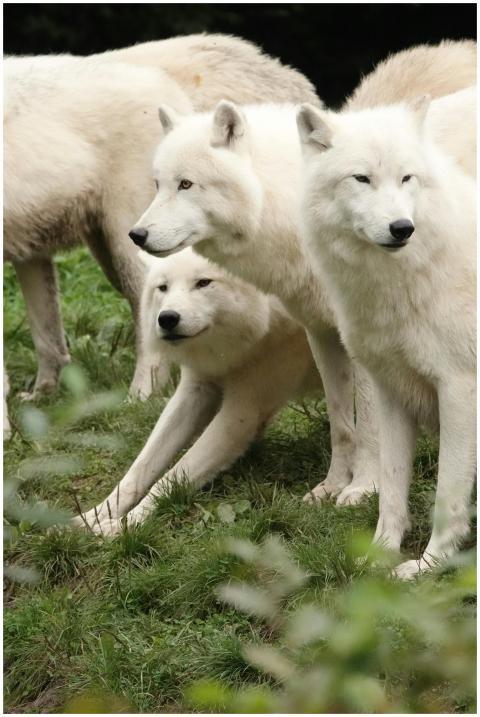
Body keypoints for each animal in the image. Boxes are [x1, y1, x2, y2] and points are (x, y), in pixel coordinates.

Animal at [74, 249, 320, 534]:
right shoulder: (196, 388)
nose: (167, 318)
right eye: (163, 287)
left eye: (203, 283)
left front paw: (122, 525)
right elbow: (140, 467)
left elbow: (171, 476)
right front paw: (91, 517)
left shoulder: (243, 412)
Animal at [128, 42, 475, 506]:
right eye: (158, 184)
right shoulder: (321, 332)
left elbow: (369, 425)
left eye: (186, 184)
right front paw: (332, 485)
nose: (136, 234)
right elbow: (341, 421)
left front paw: (363, 488)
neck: (288, 206)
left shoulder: (362, 340)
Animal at [296, 88, 476, 578]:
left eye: (406, 177)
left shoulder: (459, 390)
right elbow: (392, 489)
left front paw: (429, 564)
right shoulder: (391, 389)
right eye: (362, 179)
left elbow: (448, 496)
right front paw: (379, 555)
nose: (402, 228)